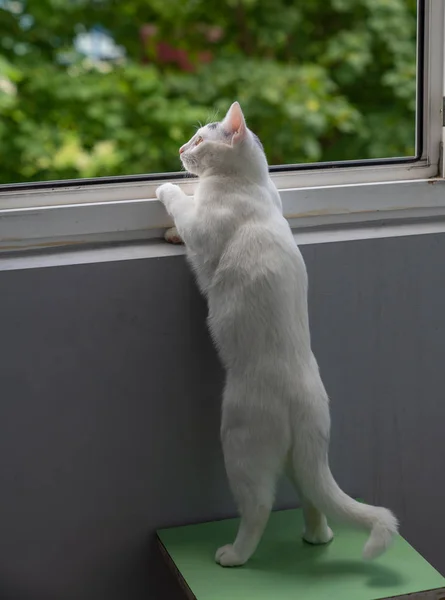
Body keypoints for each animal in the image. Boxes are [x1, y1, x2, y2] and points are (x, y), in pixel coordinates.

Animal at [155, 101, 396, 564]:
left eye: (198, 139)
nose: (179, 148)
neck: (252, 184)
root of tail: (304, 402)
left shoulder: (202, 225)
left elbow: (181, 203)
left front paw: (165, 189)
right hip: (300, 463)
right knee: (313, 500)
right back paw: (317, 538)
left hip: (239, 447)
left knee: (259, 508)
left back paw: (234, 555)